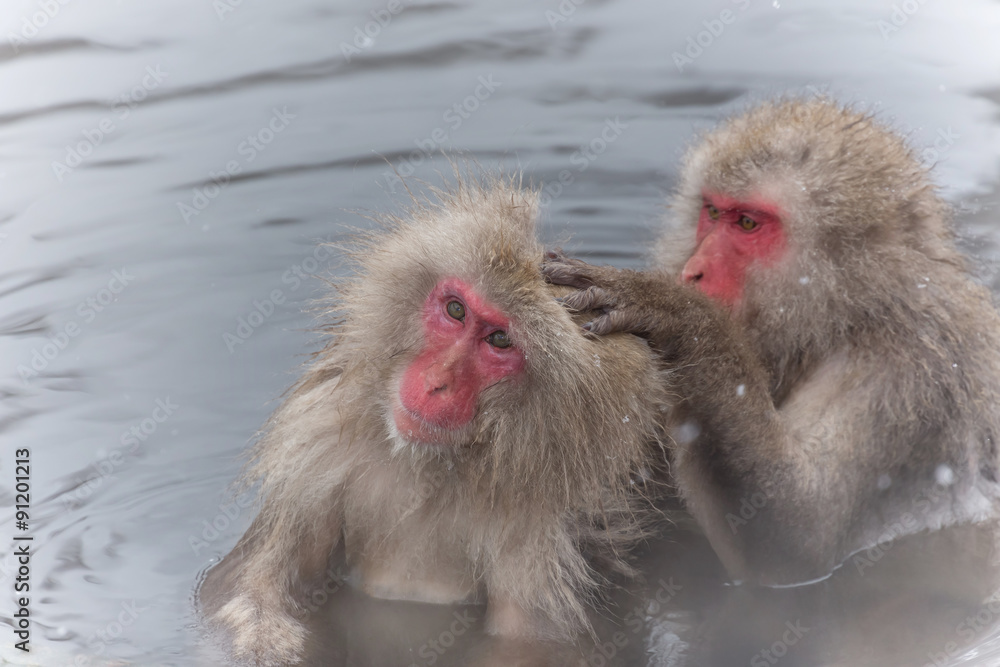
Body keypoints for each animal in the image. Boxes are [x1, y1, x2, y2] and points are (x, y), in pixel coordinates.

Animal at [198, 175, 672, 666]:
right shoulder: (318, 449)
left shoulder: (544, 526)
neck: (433, 468)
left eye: (499, 340)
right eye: (456, 310)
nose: (437, 382)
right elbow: (250, 588)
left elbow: (532, 642)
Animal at [542, 97, 1000, 588]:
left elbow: (797, 537)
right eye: (712, 213)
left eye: (748, 223)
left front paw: (678, 314)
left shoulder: (909, 371)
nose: (693, 271)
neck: (842, 316)